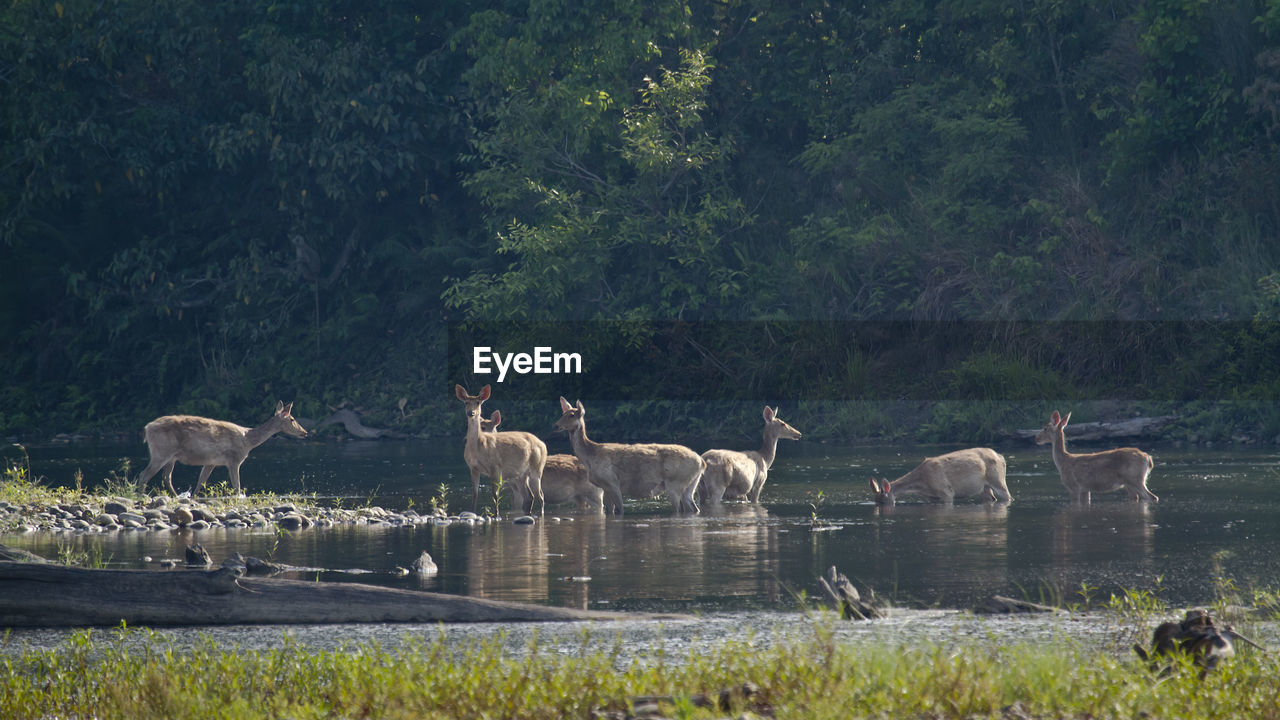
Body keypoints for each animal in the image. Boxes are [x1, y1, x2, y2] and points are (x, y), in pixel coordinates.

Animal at [135, 399, 307, 497]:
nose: (304, 432)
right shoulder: (234, 460)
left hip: (171, 456)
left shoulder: (211, 462)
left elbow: (201, 482)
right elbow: (237, 486)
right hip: (161, 451)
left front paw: (194, 497)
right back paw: (141, 496)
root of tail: (147, 428)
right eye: (292, 419)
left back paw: (176, 496)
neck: (248, 441)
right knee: (144, 474)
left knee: (166, 477)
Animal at [453, 384, 547, 512]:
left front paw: (496, 514)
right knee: (529, 496)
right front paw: (473, 511)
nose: (470, 412)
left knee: (540, 496)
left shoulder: (496, 466)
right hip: (521, 474)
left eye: (478, 402)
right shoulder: (473, 468)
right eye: (466, 402)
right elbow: (475, 494)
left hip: (537, 467)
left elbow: (495, 494)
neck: (478, 447)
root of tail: (543, 444)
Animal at [555, 394, 706, 512]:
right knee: (693, 508)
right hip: (690, 484)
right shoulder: (605, 487)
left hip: (675, 482)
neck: (590, 457)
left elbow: (620, 510)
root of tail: (701, 462)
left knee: (680, 509)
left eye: (571, 415)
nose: (555, 425)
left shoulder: (612, 481)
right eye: (562, 414)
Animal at [870, 443, 1008, 504]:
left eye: (883, 501)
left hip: (998, 480)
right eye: (876, 501)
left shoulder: (946, 491)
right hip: (985, 487)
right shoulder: (932, 497)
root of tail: (1001, 457)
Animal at [1029, 407, 1162, 502]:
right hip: (1129, 483)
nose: (1036, 438)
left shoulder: (1074, 486)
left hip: (1135, 478)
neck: (1062, 462)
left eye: (1045, 428)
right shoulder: (1085, 489)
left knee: (1151, 497)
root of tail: (1148, 458)